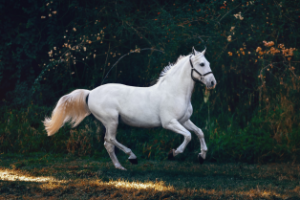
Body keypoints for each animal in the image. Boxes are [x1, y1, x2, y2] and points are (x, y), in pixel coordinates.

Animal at [44, 47, 216, 170]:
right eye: (202, 64)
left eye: (208, 63)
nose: (212, 82)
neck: (174, 92)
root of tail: (90, 93)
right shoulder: (169, 123)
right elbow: (188, 136)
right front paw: (173, 153)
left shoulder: (184, 120)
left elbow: (199, 132)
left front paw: (202, 156)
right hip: (112, 120)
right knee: (110, 140)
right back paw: (132, 157)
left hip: (110, 122)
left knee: (108, 143)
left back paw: (120, 167)